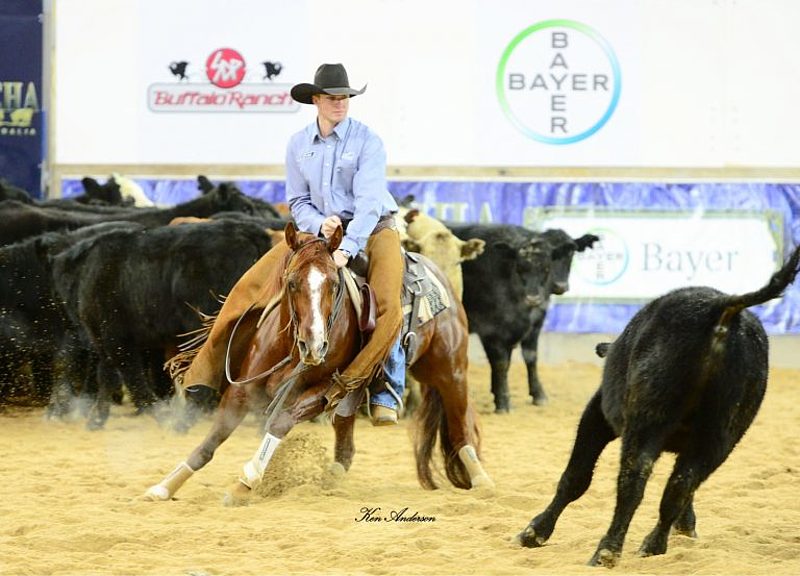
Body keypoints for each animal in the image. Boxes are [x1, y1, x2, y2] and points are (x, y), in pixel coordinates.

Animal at [51, 216, 276, 428]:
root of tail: (249, 233)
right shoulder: (110, 341)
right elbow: (108, 375)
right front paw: (98, 419)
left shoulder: (114, 339)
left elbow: (129, 375)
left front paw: (156, 413)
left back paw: (184, 422)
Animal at [146, 223, 490, 502]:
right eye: (291, 282)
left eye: (334, 285)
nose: (314, 346)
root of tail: (439, 276)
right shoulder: (241, 390)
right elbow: (211, 441)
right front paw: (164, 486)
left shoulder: (322, 391)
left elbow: (280, 423)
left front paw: (245, 483)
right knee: (346, 444)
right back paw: (331, 479)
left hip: (449, 370)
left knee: (459, 426)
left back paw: (481, 480)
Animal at [446, 223, 596, 412]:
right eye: (520, 268)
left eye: (547, 268)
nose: (560, 286)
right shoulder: (490, 330)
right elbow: (501, 363)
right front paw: (502, 402)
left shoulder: (534, 325)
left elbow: (530, 358)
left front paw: (538, 395)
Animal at [520, 243, 800, 568]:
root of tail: (724, 309)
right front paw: (687, 527)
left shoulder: (597, 414)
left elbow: (575, 477)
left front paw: (535, 532)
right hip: (720, 436)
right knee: (681, 485)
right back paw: (654, 545)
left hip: (646, 422)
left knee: (633, 482)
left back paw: (606, 552)